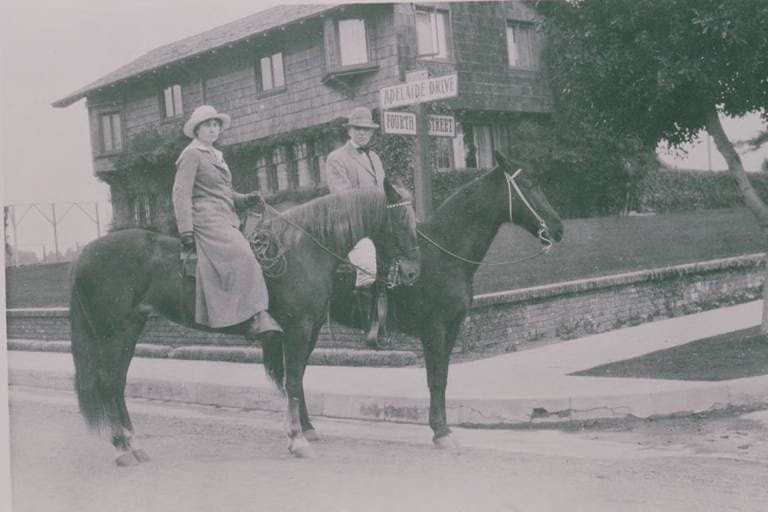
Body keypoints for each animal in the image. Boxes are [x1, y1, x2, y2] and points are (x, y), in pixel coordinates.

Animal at [69, 180, 420, 464]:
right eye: (400, 221)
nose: (412, 272)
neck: (300, 249)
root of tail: (85, 254)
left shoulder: (306, 333)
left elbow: (296, 380)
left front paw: (300, 432)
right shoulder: (297, 330)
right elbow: (293, 382)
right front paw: (298, 438)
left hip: (129, 330)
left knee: (116, 383)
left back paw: (133, 445)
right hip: (114, 333)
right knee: (107, 382)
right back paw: (121, 446)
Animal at [327, 151, 564, 447]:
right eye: (530, 185)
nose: (558, 228)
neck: (445, 253)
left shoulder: (452, 328)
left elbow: (443, 377)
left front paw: (444, 428)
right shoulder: (434, 329)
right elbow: (435, 378)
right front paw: (439, 430)